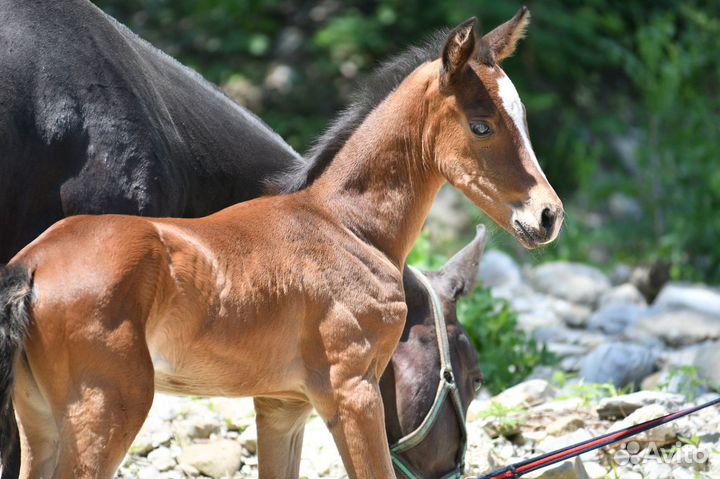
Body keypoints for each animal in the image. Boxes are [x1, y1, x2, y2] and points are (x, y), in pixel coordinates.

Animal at [0, 4, 564, 479]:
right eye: (482, 126)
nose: (547, 215)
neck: (345, 226)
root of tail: (31, 266)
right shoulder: (353, 392)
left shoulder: (282, 406)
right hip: (108, 410)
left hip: (40, 420)